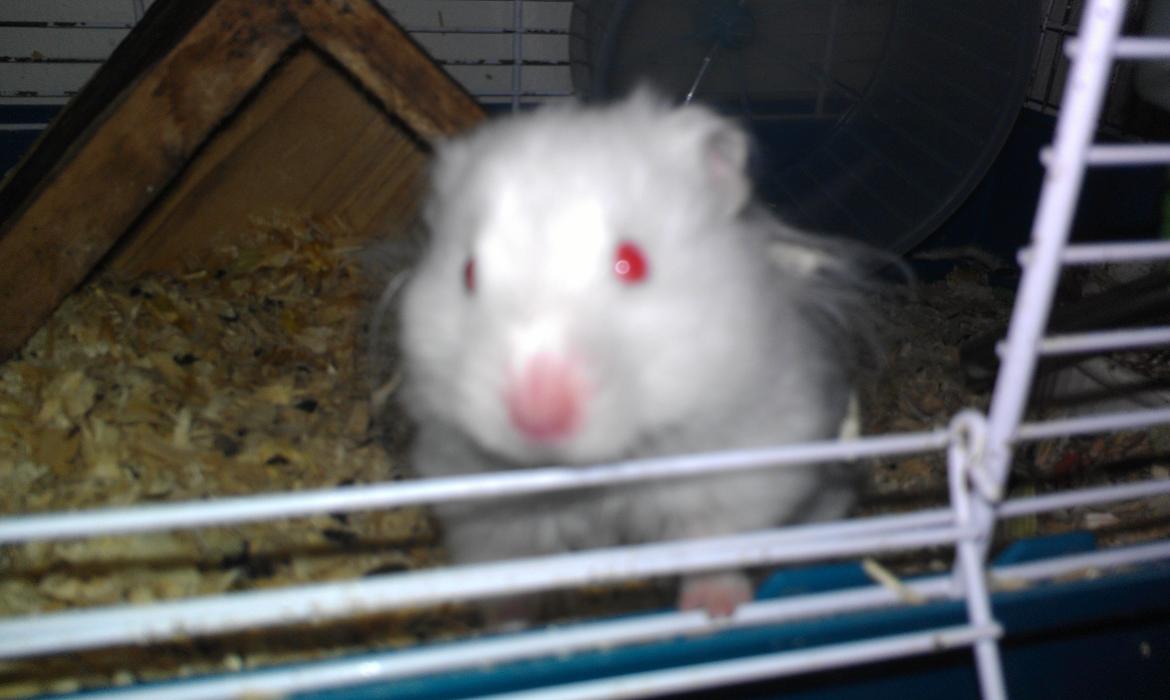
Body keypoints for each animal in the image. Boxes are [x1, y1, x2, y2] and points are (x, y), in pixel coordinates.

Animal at [394, 91, 869, 620]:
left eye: (632, 262)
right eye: (469, 273)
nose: (537, 415)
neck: (602, 470)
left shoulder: (742, 467)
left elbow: (712, 542)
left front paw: (714, 610)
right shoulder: (474, 498)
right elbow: (507, 569)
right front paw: (505, 624)